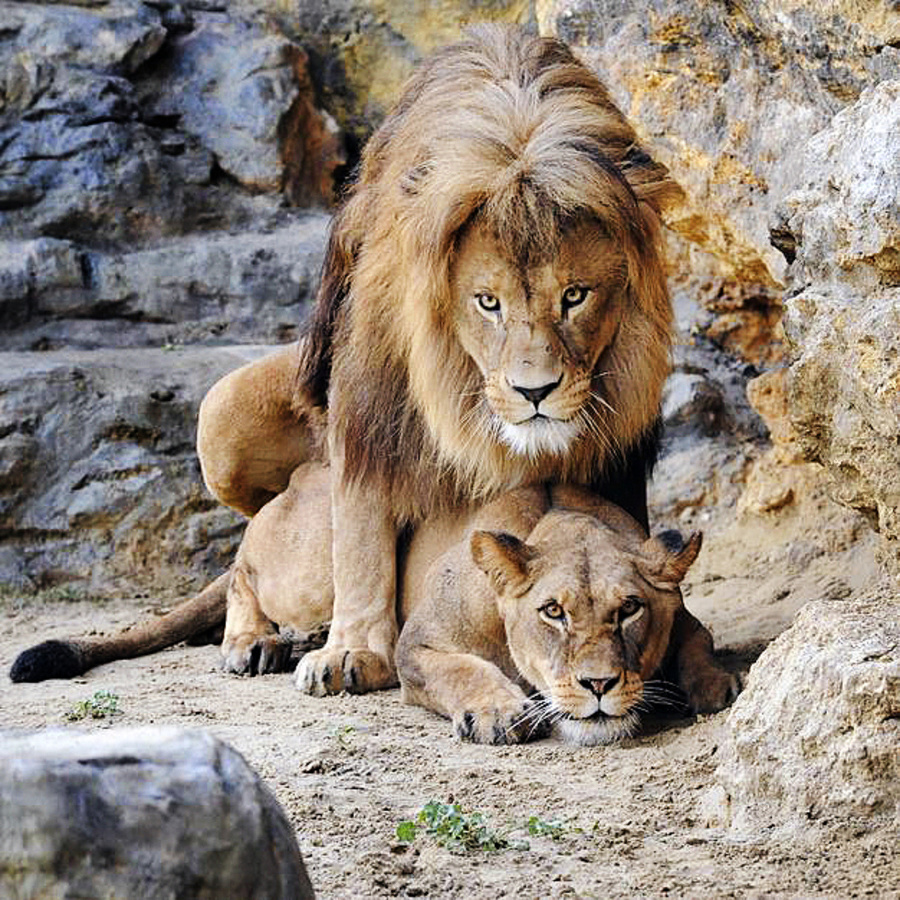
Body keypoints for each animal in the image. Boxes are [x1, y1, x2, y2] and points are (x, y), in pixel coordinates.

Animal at [193, 24, 680, 700]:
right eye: (487, 302)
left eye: (575, 295)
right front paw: (353, 653)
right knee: (245, 559)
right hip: (223, 416)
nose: (535, 392)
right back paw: (254, 640)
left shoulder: (616, 444)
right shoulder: (368, 400)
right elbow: (362, 538)